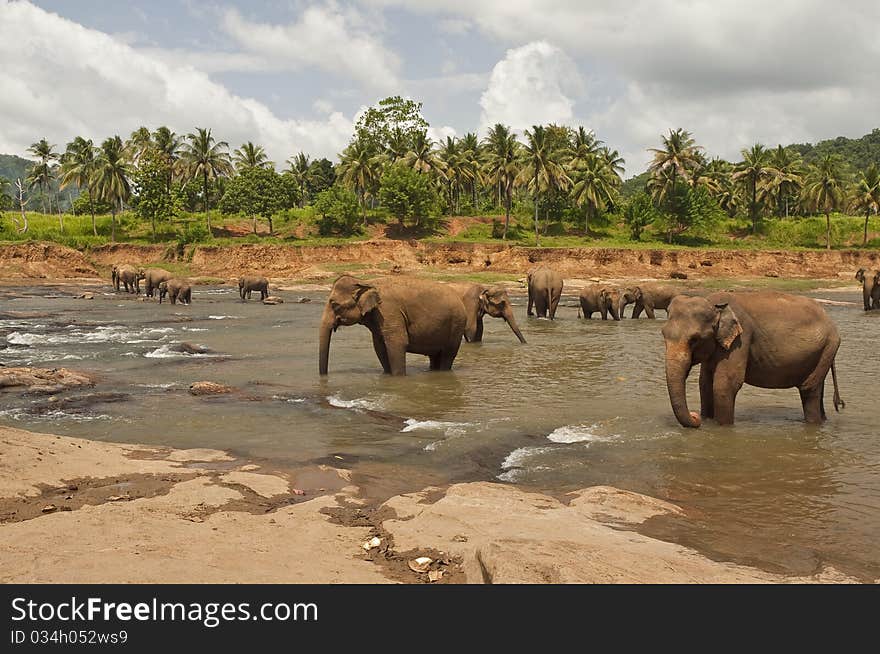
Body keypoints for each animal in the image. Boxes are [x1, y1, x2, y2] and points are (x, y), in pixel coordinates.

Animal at [318, 276, 468, 380]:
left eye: (334, 304)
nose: (325, 377)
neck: (366, 282)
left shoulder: (389, 311)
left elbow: (397, 344)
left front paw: (398, 378)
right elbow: (380, 347)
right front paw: (387, 375)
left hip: (456, 326)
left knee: (448, 355)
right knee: (435, 356)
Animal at [660, 294, 844, 430]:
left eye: (694, 339)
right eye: (663, 334)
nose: (695, 416)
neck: (716, 305)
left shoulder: (741, 339)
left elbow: (725, 384)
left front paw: (722, 429)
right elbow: (705, 383)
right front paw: (707, 422)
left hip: (828, 346)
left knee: (809, 389)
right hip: (823, 352)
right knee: (818, 389)